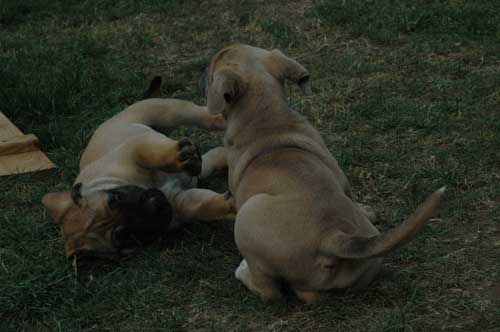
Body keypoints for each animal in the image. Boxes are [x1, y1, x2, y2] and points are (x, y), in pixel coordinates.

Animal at [203, 44, 446, 304]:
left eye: (215, 64)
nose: (203, 71)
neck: (267, 115)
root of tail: (332, 237)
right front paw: (367, 209)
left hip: (247, 217)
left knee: (270, 291)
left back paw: (243, 271)